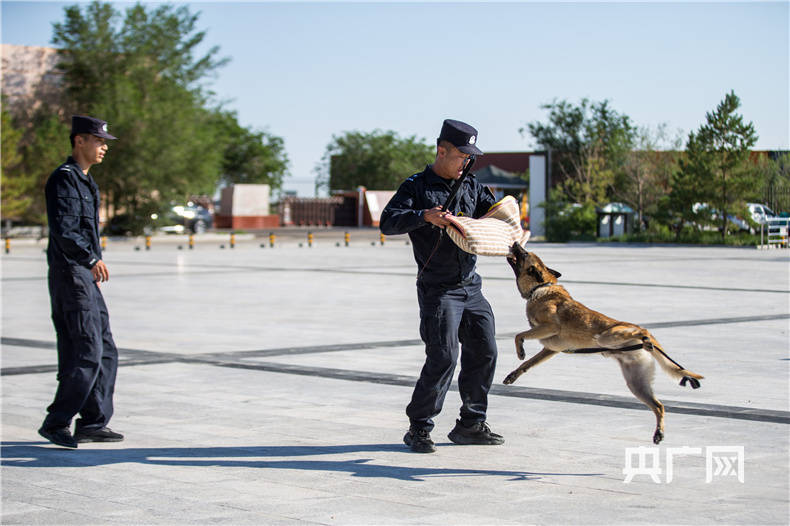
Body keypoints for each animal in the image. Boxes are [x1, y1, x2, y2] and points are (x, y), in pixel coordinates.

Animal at [504, 244, 704, 446]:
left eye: (524, 254)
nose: (516, 244)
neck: (540, 287)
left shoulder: (550, 327)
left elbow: (518, 336)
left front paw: (520, 351)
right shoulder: (551, 349)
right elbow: (527, 364)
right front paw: (513, 375)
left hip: (606, 337)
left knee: (642, 332)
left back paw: (646, 338)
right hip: (636, 383)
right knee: (659, 406)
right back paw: (659, 432)